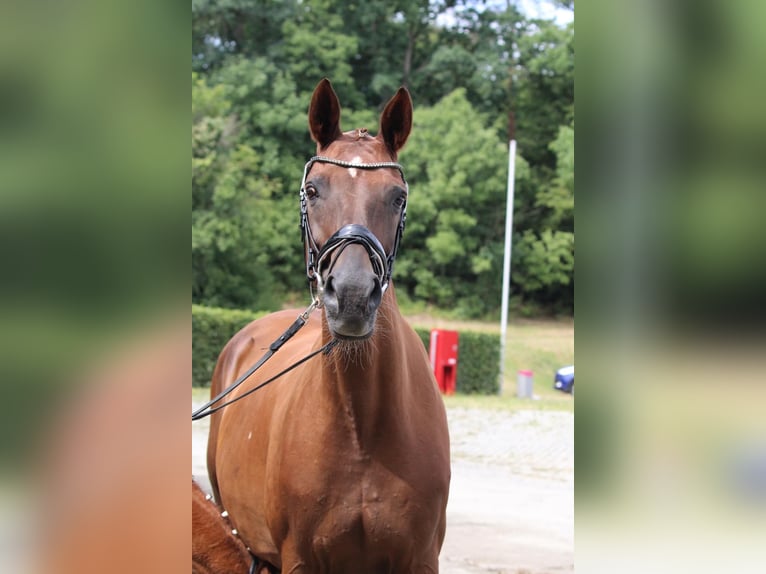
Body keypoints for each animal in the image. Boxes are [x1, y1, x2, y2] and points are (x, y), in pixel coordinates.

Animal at [207, 81, 452, 574]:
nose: (353, 296)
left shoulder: (420, 560)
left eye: (397, 196)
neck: (361, 429)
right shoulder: (299, 559)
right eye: (313, 189)